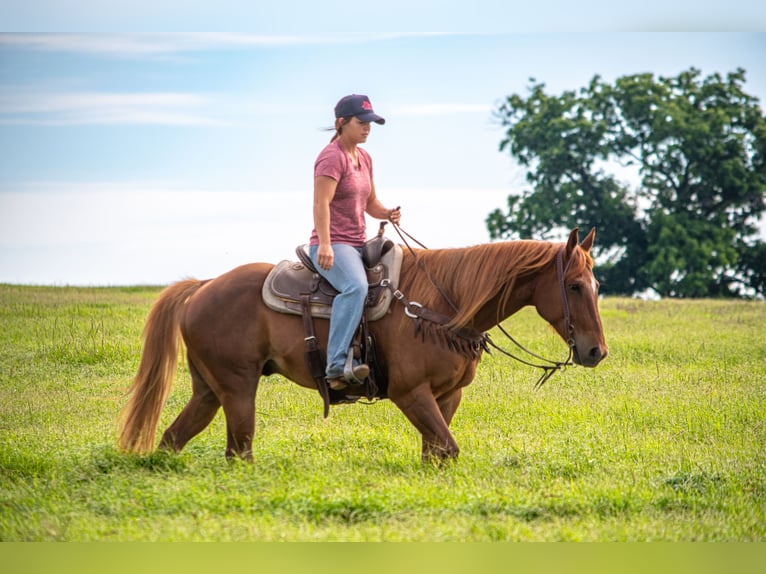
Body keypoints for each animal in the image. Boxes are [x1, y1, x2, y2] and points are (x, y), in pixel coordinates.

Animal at [118, 227, 607, 463]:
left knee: (174, 437)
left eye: (597, 285)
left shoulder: (447, 396)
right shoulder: (411, 393)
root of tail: (203, 286)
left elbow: (435, 454)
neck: (439, 305)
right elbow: (448, 449)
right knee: (239, 449)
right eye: (574, 285)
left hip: (209, 389)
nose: (596, 351)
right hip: (238, 388)